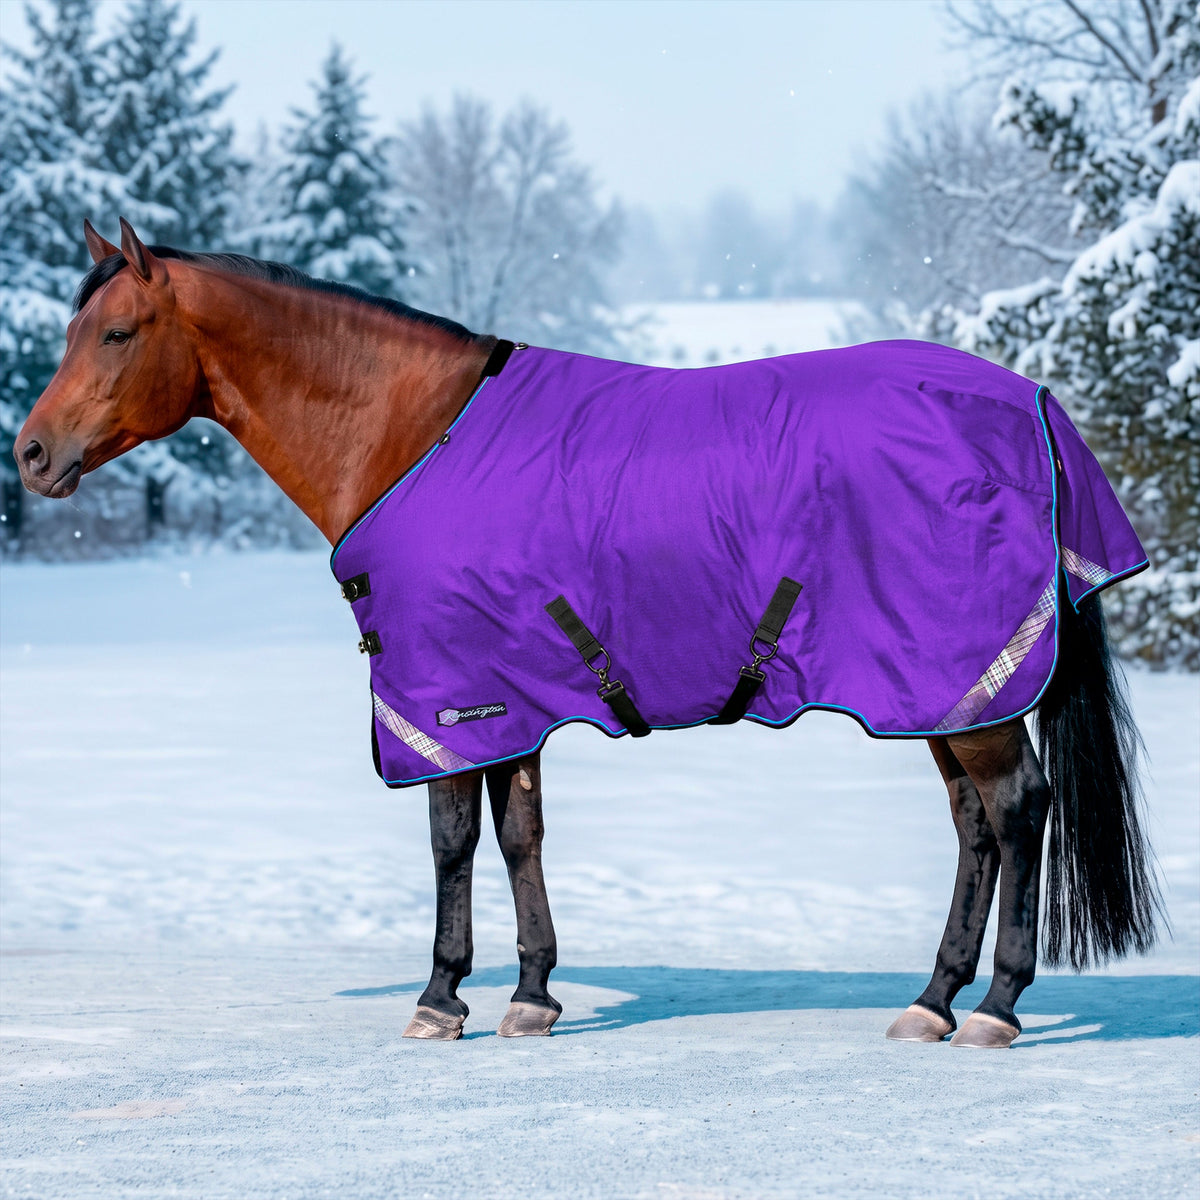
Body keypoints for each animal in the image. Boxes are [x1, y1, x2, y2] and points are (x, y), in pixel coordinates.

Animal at [14, 219, 1161, 1048]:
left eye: (117, 333)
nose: (30, 453)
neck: (414, 435)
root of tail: (1033, 404)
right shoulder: (510, 698)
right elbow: (519, 834)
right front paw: (529, 994)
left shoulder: (444, 696)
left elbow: (450, 840)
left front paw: (439, 997)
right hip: (941, 690)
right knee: (975, 827)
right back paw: (931, 1000)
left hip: (967, 685)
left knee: (1017, 811)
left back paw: (996, 1008)